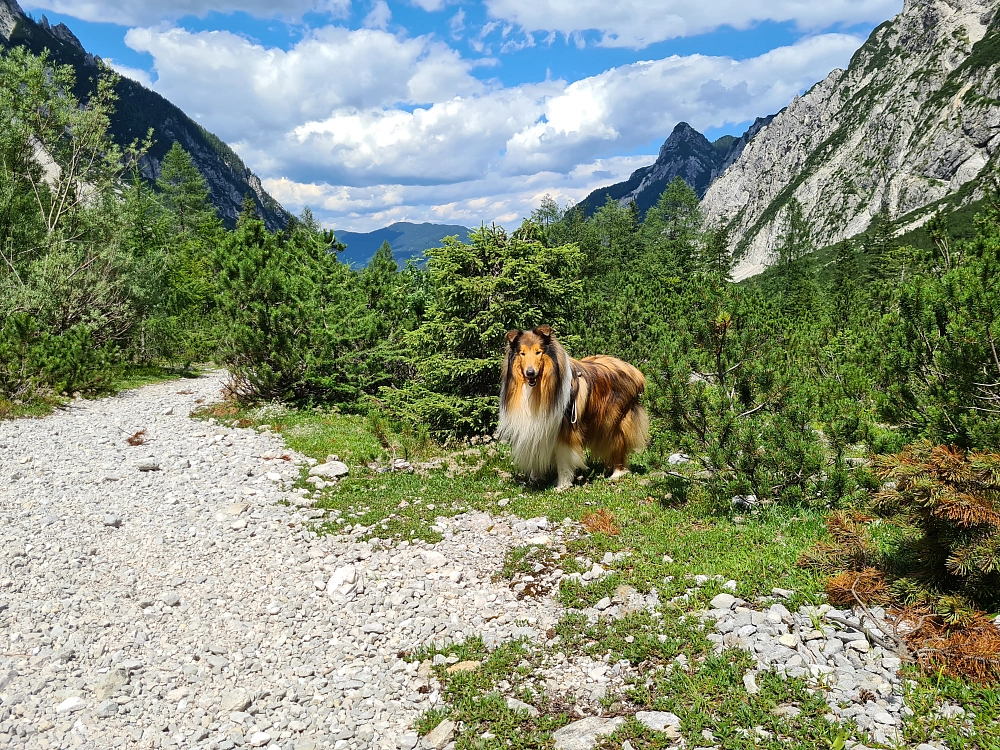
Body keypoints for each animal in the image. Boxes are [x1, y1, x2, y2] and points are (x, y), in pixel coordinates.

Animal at [498, 326, 648, 490]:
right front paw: (534, 479)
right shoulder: (537, 426)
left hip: (612, 423)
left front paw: (562, 485)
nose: (530, 373)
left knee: (618, 444)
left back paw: (618, 472)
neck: (537, 389)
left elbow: (564, 458)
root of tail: (634, 371)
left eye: (538, 352)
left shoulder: (566, 429)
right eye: (522, 353)